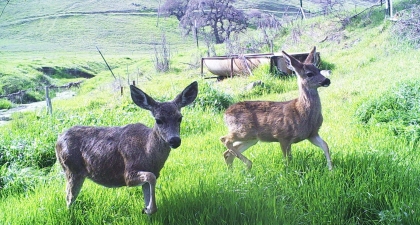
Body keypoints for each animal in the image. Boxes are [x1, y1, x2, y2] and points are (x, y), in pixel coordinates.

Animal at [55, 81, 199, 215]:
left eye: (180, 118)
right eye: (158, 120)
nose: (175, 140)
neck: (147, 151)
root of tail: (58, 139)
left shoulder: (151, 173)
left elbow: (149, 187)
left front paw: (147, 209)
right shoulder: (128, 174)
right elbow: (150, 177)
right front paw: (149, 209)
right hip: (72, 170)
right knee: (68, 198)